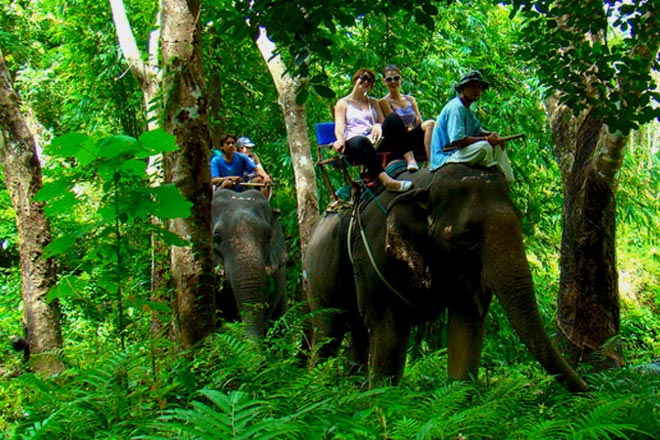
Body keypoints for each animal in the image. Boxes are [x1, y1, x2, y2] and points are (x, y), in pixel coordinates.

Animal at [304, 163, 588, 390]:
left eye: (519, 219)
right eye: (468, 235)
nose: (590, 388)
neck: (425, 184)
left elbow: (467, 324)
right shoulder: (374, 253)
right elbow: (389, 332)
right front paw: (382, 403)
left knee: (357, 333)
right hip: (318, 273)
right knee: (328, 333)